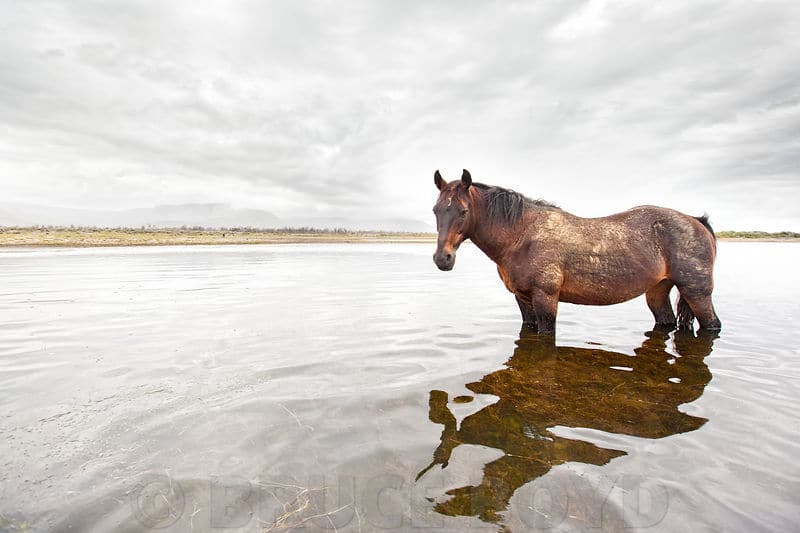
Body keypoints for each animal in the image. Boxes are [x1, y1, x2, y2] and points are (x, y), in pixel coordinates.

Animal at [432, 169, 721, 334]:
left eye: (463, 211)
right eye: (436, 210)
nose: (442, 259)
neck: (521, 237)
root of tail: (696, 221)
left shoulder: (545, 299)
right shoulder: (523, 298)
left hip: (697, 293)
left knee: (712, 325)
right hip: (658, 291)